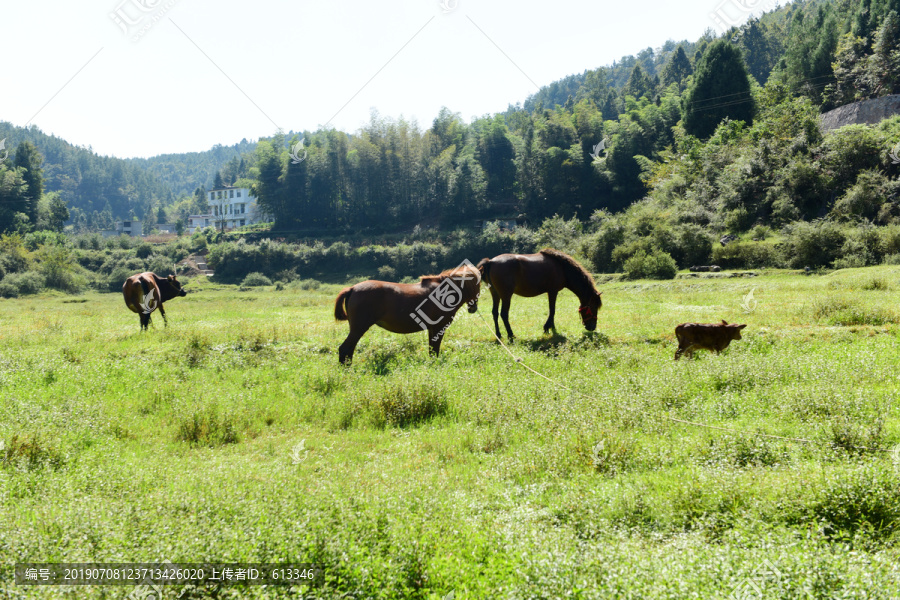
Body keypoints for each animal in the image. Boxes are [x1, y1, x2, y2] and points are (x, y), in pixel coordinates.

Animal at [333, 263, 481, 364]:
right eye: (477, 285)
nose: (473, 308)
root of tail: (352, 288)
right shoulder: (439, 328)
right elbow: (435, 349)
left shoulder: (432, 329)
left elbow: (431, 349)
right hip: (359, 328)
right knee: (345, 348)